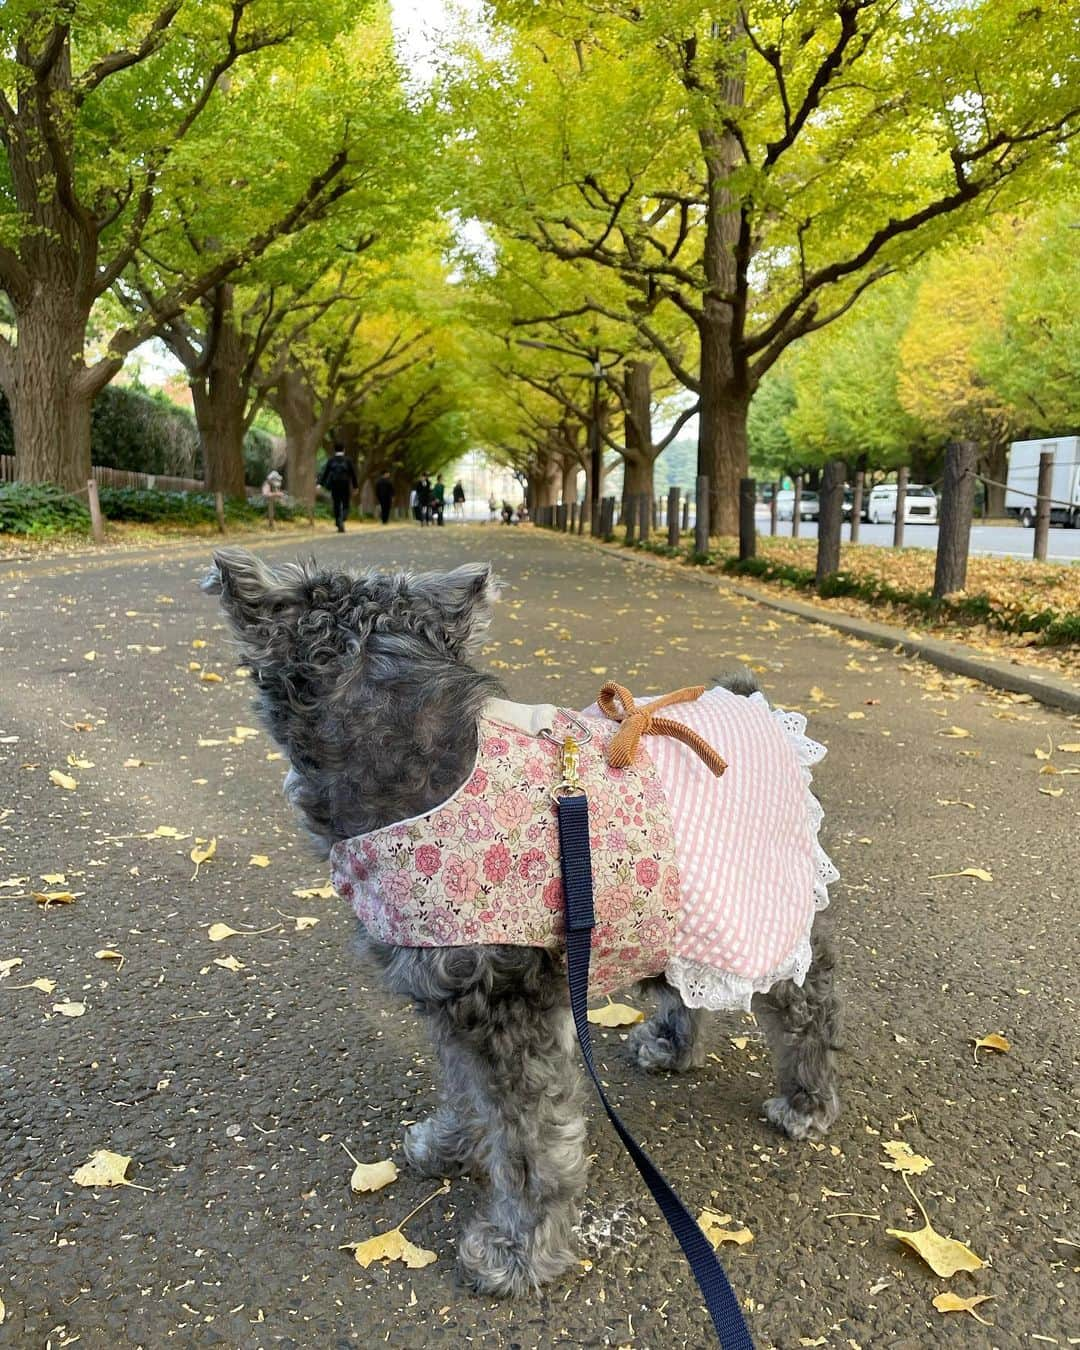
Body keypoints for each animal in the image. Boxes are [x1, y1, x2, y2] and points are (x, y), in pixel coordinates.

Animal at [205, 545, 842, 1296]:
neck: (419, 767)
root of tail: (747, 697)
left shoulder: (506, 1012)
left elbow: (532, 1146)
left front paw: (518, 1251)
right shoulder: (452, 1003)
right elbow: (466, 1091)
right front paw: (450, 1146)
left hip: (765, 912)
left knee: (810, 1000)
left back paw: (807, 1100)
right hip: (666, 915)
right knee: (687, 988)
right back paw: (672, 1047)